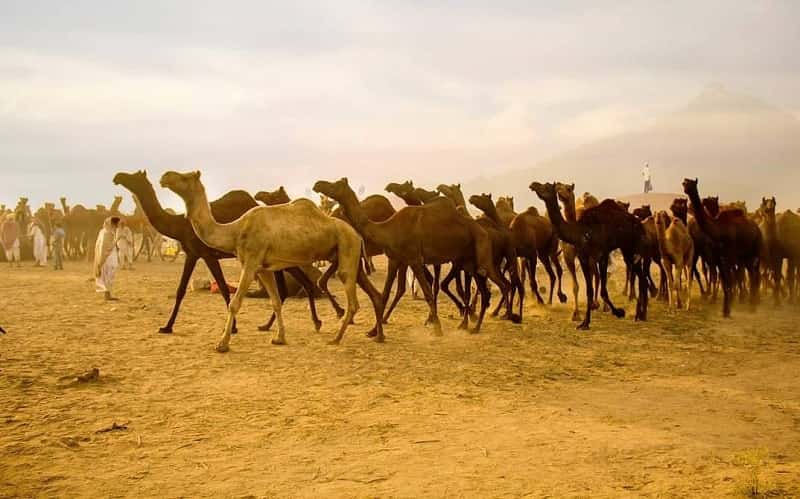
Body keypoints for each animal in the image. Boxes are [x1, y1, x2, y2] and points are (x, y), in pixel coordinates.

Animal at [114, 170, 330, 336]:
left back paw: (313, 321)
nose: (117, 176)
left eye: (134, 176)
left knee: (300, 284)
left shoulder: (204, 254)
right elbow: (182, 290)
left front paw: (232, 328)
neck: (179, 225)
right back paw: (275, 325)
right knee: (290, 288)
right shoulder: (193, 254)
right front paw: (167, 326)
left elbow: (222, 289)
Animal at [161, 171, 384, 351]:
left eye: (184, 177)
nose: (164, 177)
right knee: (365, 295)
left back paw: (337, 338)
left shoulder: (250, 263)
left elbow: (234, 303)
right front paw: (279, 338)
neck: (234, 230)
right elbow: (276, 301)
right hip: (345, 255)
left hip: (347, 248)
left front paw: (222, 344)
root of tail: (357, 234)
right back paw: (374, 335)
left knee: (352, 300)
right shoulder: (263, 268)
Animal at [314, 178, 517, 335]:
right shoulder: (397, 259)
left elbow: (427, 292)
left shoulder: (414, 259)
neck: (387, 229)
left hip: (482, 258)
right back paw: (476, 323)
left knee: (502, 284)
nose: (317, 184)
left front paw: (437, 329)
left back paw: (503, 316)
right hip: (468, 263)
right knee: (486, 289)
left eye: (335, 185)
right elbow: (386, 293)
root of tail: (484, 229)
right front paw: (373, 331)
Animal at [531, 181, 650, 330]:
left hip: (630, 247)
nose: (533, 184)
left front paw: (618, 312)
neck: (581, 232)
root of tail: (640, 224)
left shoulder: (601, 255)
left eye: (546, 186)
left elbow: (603, 289)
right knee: (641, 278)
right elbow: (589, 290)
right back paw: (641, 314)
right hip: (627, 250)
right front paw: (585, 322)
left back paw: (640, 314)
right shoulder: (583, 257)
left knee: (640, 277)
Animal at [683, 178, 761, 317]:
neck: (718, 230)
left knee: (753, 274)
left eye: (691, 183)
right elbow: (724, 279)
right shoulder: (719, 256)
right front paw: (725, 310)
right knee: (751, 273)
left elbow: (729, 279)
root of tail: (757, 229)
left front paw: (727, 309)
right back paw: (751, 304)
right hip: (745, 255)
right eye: (684, 182)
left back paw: (752, 305)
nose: (685, 188)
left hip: (753, 250)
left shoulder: (728, 255)